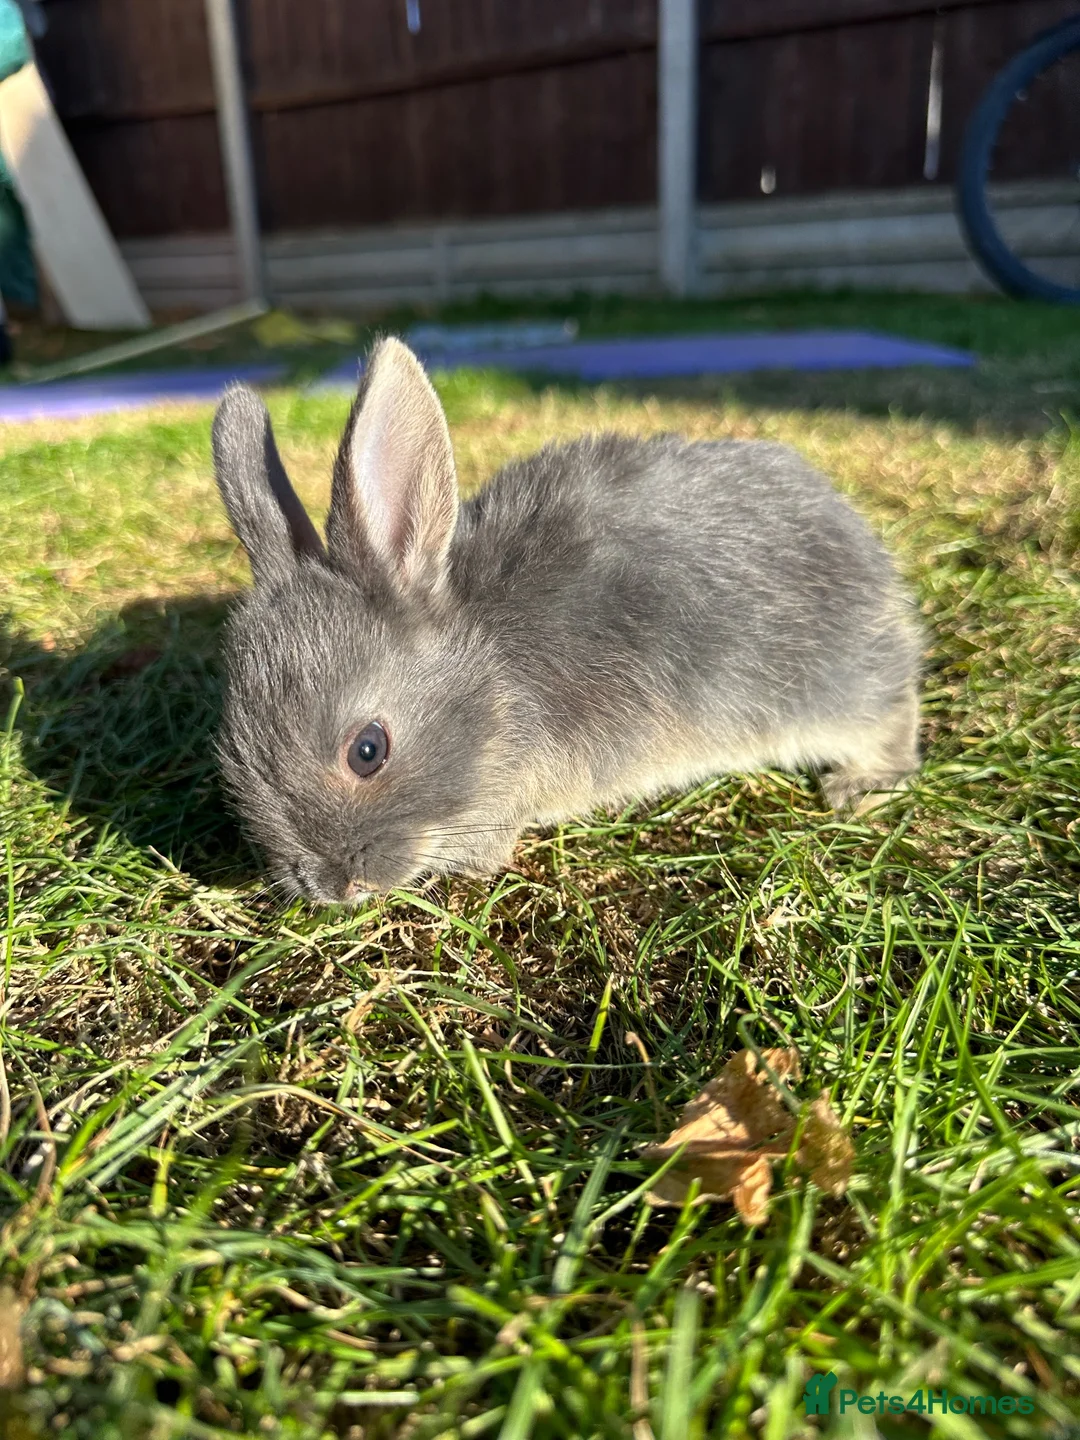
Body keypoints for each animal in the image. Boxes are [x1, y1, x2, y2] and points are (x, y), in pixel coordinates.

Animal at [211, 337, 921, 904]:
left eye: (368, 751)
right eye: (235, 757)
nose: (329, 887)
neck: (492, 672)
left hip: (834, 693)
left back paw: (859, 785)